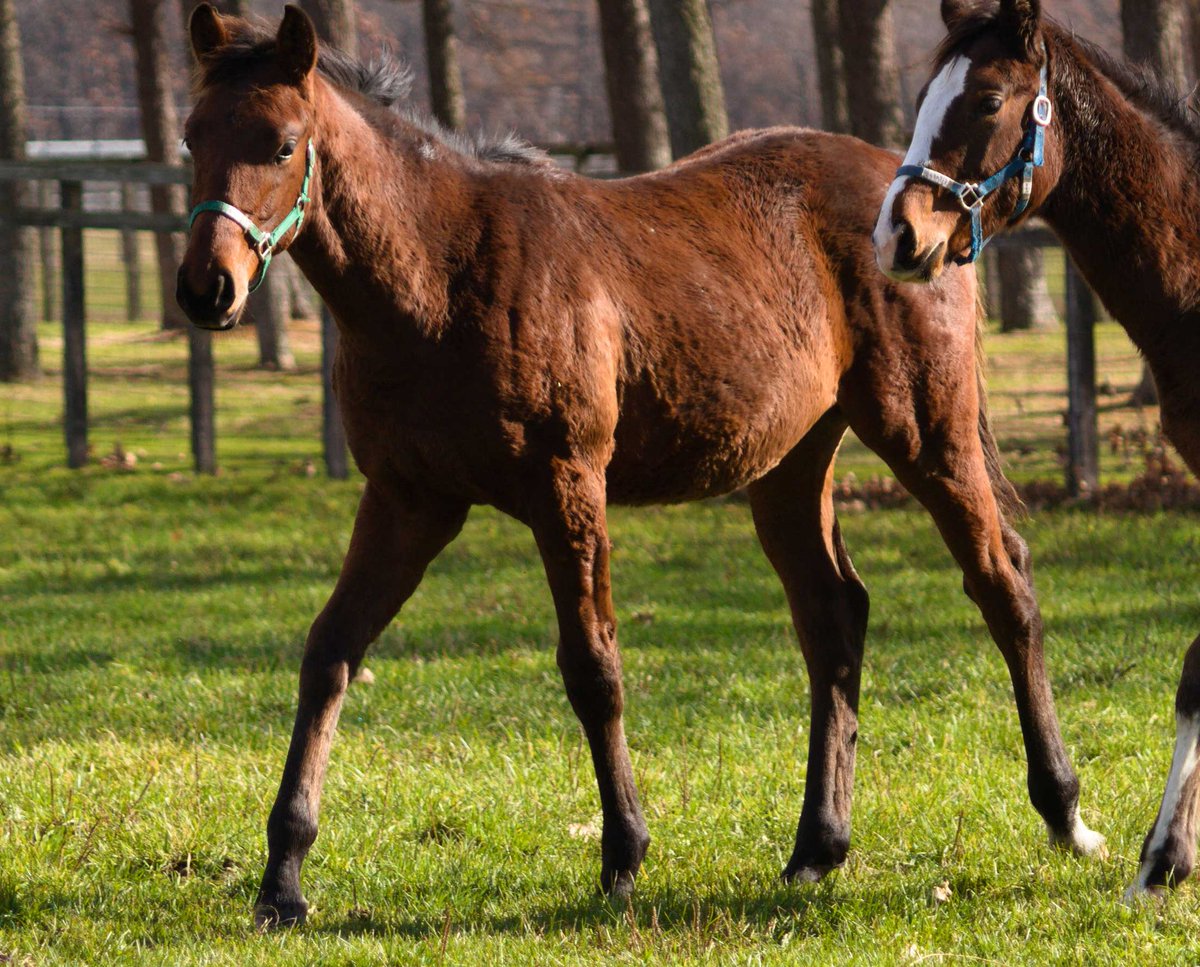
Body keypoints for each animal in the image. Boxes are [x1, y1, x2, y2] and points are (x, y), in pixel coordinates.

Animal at [178, 3, 1102, 928]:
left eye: (281, 143)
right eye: (192, 137)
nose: (205, 288)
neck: (442, 273)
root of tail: (919, 212)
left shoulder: (566, 487)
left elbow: (592, 666)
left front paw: (623, 855)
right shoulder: (409, 498)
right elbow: (330, 651)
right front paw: (282, 878)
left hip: (926, 432)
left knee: (1003, 583)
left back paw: (1064, 811)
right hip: (790, 466)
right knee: (835, 616)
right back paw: (817, 847)